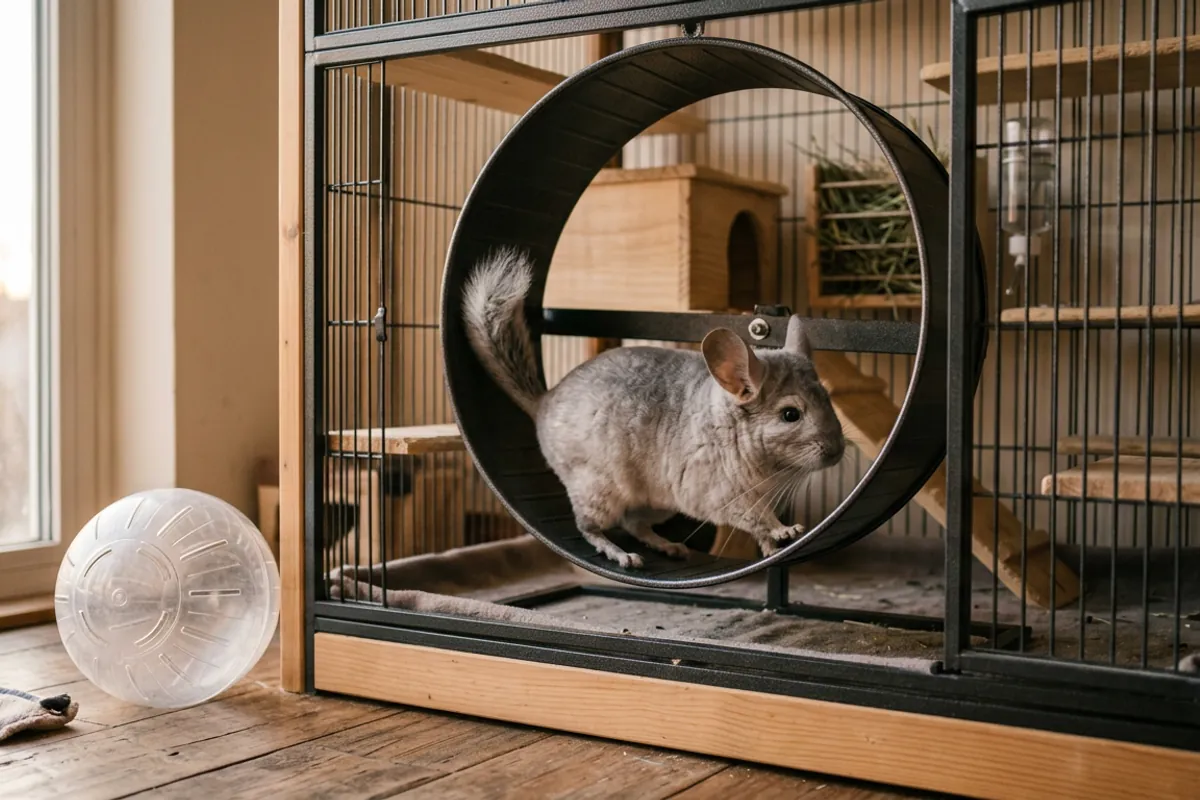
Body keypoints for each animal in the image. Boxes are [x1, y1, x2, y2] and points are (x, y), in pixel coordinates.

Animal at [463, 248, 845, 568]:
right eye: (790, 414)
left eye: (827, 396)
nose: (838, 452)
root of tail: (544, 402)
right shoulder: (721, 493)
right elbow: (755, 517)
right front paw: (785, 531)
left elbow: (759, 525)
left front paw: (771, 546)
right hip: (598, 486)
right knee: (589, 525)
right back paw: (623, 555)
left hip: (657, 503)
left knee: (633, 522)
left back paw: (669, 547)